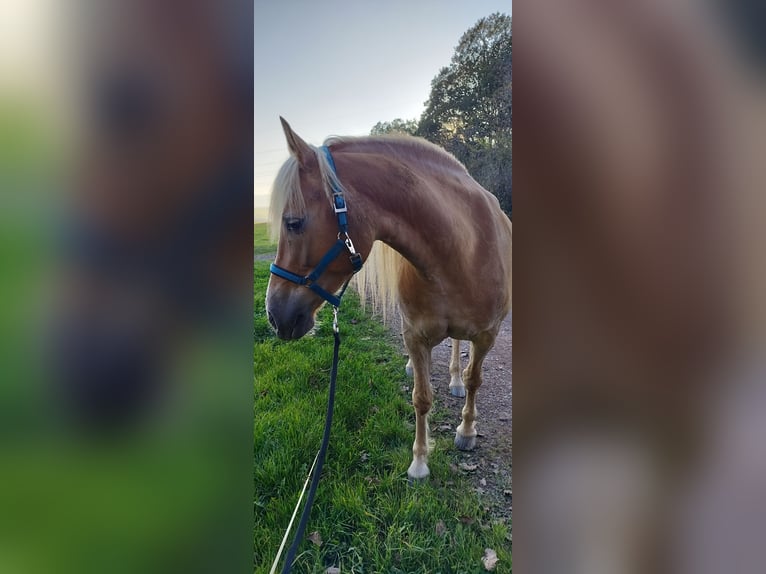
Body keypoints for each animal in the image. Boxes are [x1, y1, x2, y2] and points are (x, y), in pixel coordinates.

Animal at [268, 119, 512, 484]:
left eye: (293, 223)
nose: (273, 315)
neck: (460, 252)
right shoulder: (415, 336)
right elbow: (421, 397)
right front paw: (420, 463)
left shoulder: (487, 336)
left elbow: (474, 380)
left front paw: (467, 431)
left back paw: (455, 381)